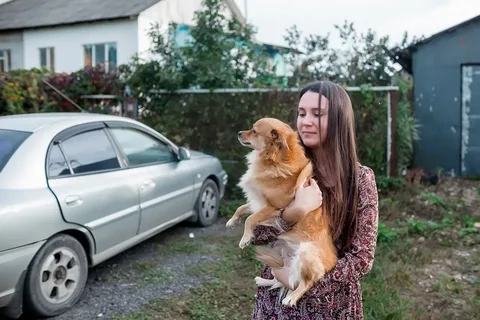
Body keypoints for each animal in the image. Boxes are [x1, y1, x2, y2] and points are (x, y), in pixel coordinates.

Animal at [226, 118, 336, 308]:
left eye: (253, 131)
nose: (239, 132)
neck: (273, 159)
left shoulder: (274, 208)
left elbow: (251, 219)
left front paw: (245, 238)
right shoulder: (259, 203)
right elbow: (242, 208)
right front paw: (232, 221)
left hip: (305, 253)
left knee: (305, 282)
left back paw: (292, 298)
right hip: (281, 251)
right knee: (282, 279)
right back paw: (264, 280)